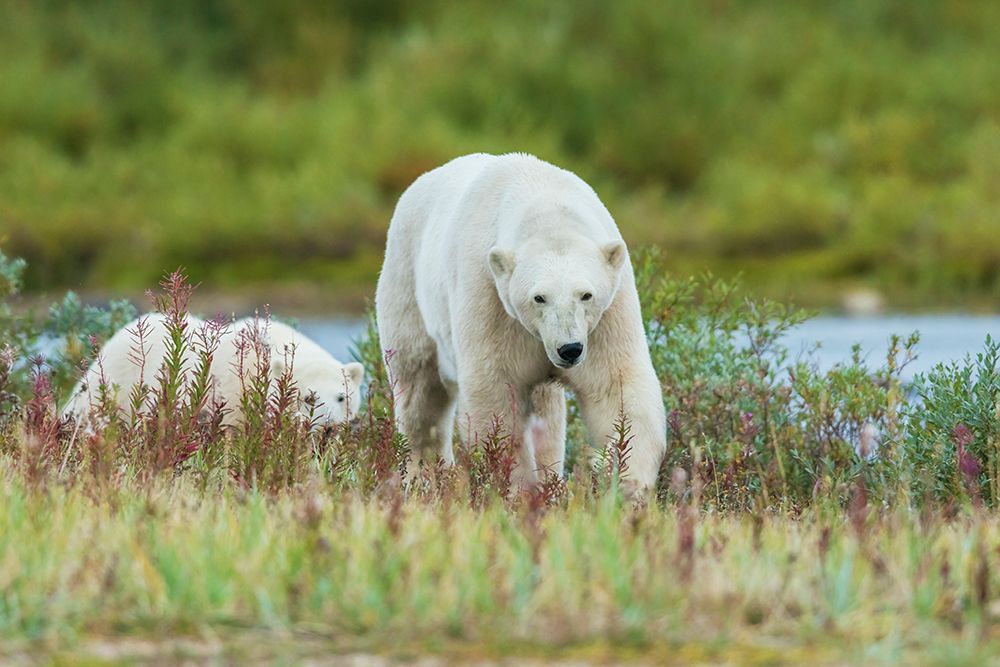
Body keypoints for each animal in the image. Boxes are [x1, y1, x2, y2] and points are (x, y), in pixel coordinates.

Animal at [375, 153, 666, 496]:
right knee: (419, 387)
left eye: (586, 294)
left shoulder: (608, 314)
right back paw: (423, 475)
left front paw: (629, 483)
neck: (542, 199)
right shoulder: (490, 296)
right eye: (539, 297)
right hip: (407, 281)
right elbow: (495, 392)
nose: (569, 349)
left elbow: (615, 385)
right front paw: (518, 489)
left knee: (547, 413)